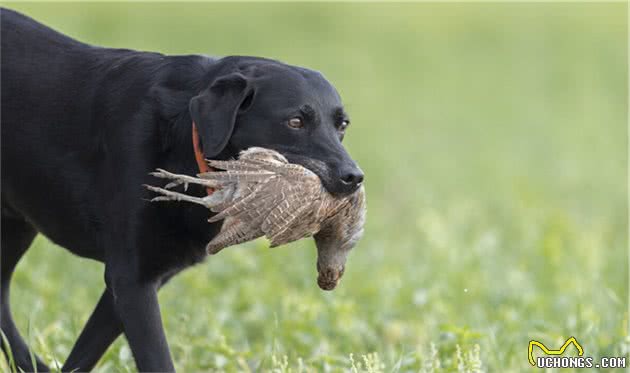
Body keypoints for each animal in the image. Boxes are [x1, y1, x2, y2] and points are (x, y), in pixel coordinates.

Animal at [1, 7, 366, 370]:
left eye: (342, 125)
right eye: (295, 122)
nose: (354, 177)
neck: (184, 139)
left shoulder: (141, 279)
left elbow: (83, 354)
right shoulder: (131, 278)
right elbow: (156, 358)